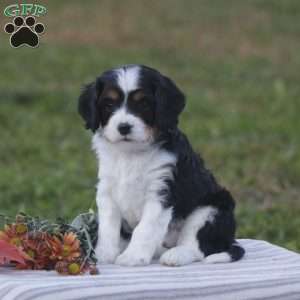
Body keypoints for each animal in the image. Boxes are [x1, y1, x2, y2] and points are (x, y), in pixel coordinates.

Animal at [77, 64, 244, 266]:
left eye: (143, 104)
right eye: (108, 104)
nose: (123, 127)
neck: (131, 153)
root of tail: (229, 240)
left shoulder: (161, 191)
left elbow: (145, 228)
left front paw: (133, 257)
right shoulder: (107, 190)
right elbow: (108, 227)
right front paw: (103, 254)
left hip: (211, 209)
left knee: (197, 246)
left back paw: (175, 255)